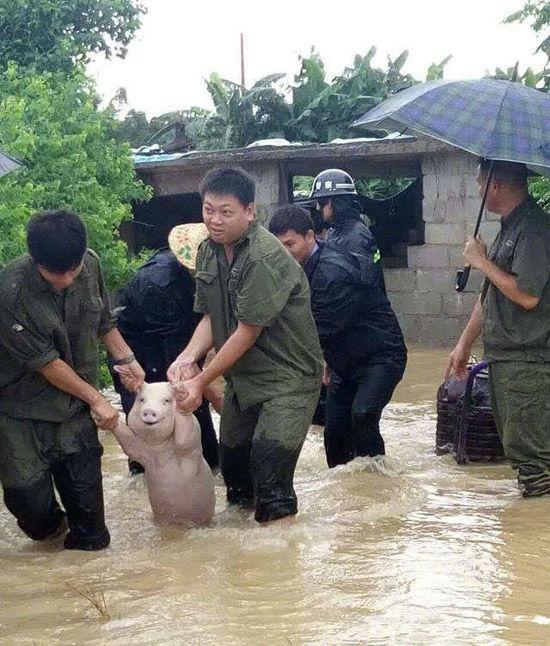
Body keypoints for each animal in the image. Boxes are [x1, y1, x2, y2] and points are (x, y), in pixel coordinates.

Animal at [111, 382, 217, 528]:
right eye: (142, 400)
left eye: (166, 400)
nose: (149, 410)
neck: (159, 449)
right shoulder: (140, 451)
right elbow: (129, 443)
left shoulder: (191, 445)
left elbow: (185, 438)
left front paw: (179, 390)